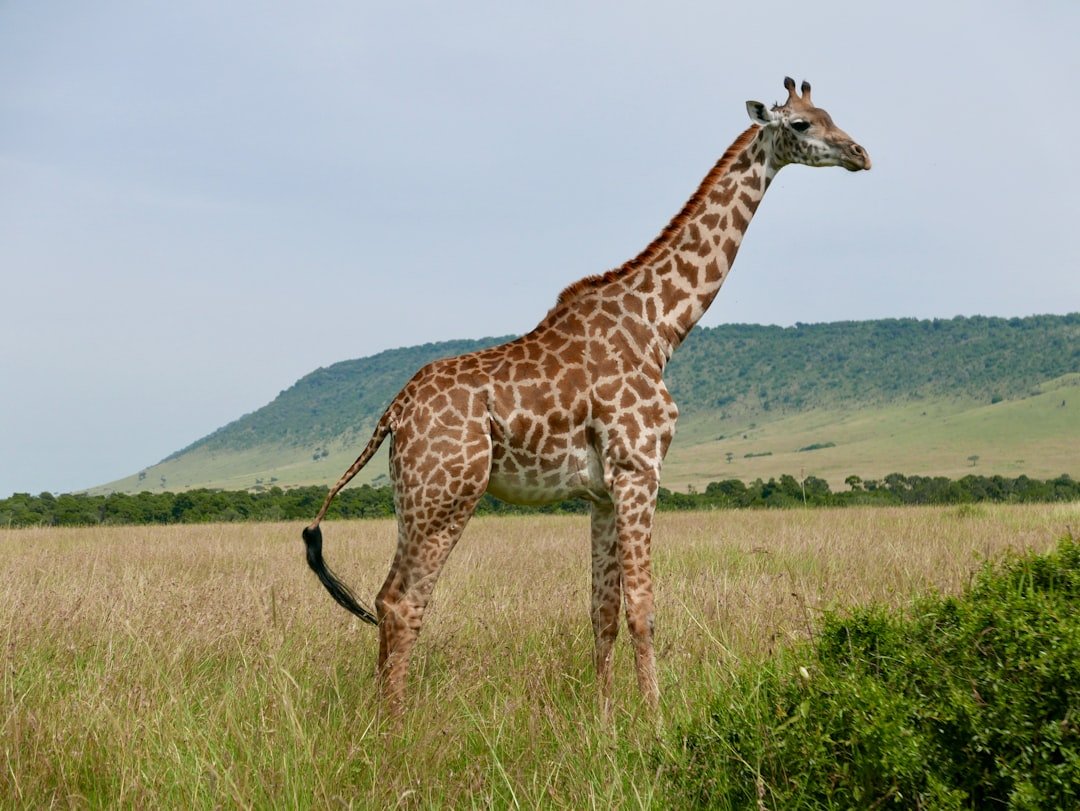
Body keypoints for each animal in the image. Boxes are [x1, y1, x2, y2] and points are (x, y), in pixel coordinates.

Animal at [302, 77, 870, 714]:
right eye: (800, 125)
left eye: (830, 113)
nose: (860, 154)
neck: (660, 326)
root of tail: (392, 413)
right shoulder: (639, 470)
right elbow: (644, 609)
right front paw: (655, 719)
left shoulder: (601, 492)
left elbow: (602, 611)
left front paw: (602, 718)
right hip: (447, 495)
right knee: (403, 603)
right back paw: (398, 724)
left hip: (414, 500)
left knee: (384, 599)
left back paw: (381, 715)